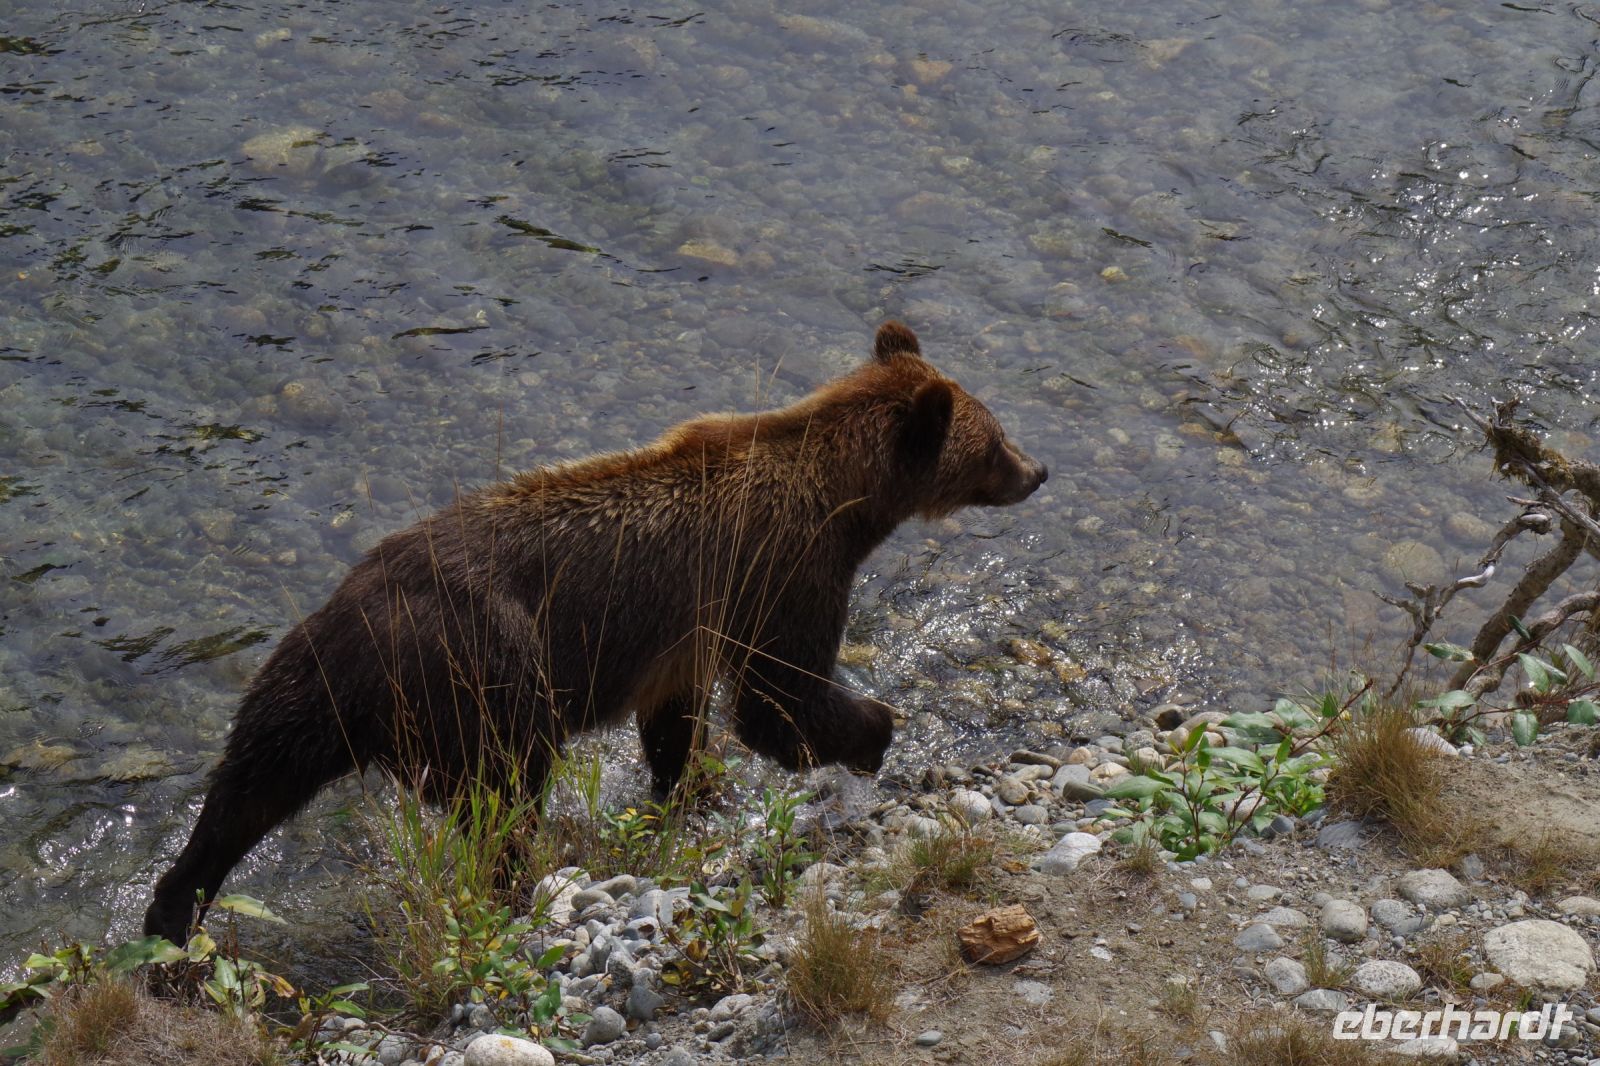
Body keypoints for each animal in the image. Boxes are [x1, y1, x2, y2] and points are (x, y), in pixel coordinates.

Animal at [143, 321, 1047, 945]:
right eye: (995, 437)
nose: (1039, 470)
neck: (844, 499)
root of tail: (358, 637)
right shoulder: (781, 569)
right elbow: (776, 698)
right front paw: (875, 731)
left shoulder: (685, 637)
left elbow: (678, 720)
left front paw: (690, 786)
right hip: (488, 668)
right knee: (505, 790)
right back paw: (512, 886)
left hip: (302, 677)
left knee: (246, 790)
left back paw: (172, 918)